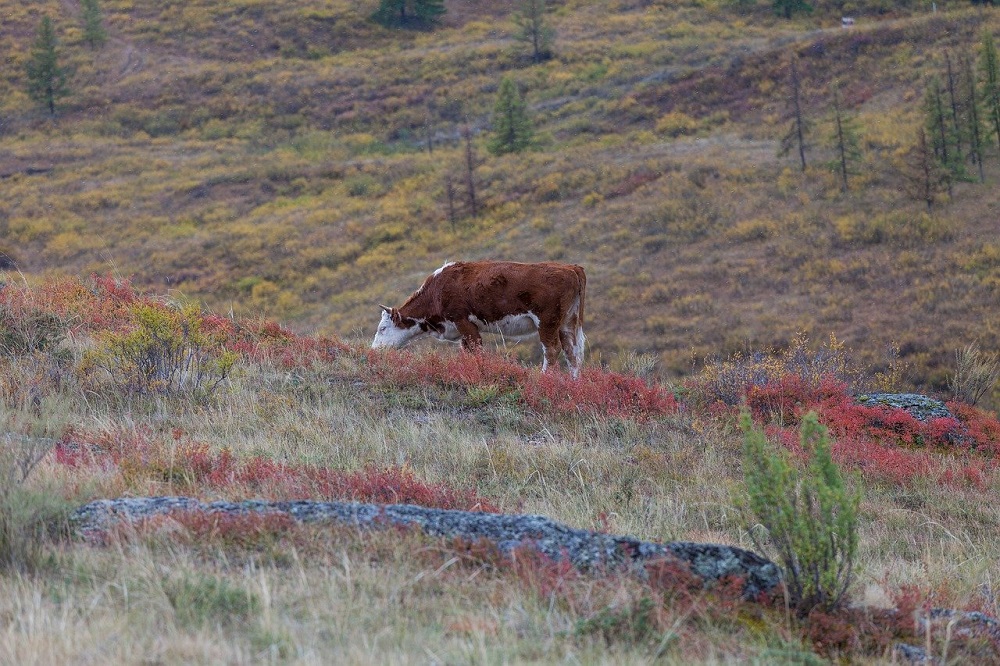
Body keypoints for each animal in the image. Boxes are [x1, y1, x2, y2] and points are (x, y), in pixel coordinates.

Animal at [370, 258, 584, 376]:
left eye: (382, 328)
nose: (373, 350)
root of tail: (571, 268)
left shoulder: (463, 321)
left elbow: (476, 350)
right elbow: (466, 352)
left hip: (547, 321)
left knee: (552, 349)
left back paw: (544, 377)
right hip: (568, 322)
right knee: (572, 351)